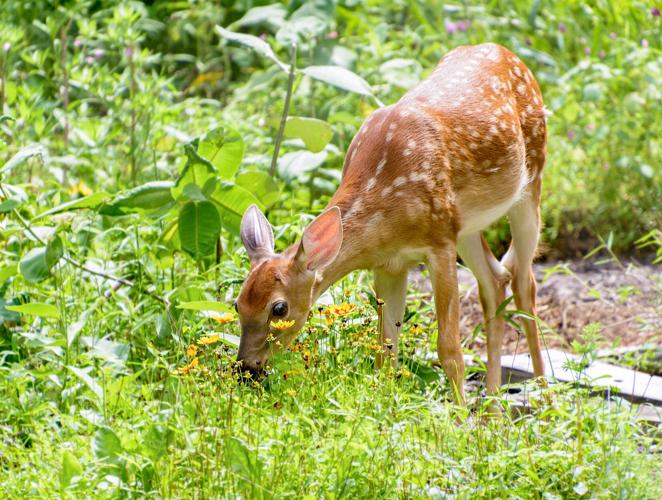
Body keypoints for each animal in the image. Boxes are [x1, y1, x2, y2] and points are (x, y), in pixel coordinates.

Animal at [234, 43, 547, 405]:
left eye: (279, 308)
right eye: (238, 303)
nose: (245, 370)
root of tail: (504, 50)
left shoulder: (440, 241)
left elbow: (449, 349)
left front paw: (459, 417)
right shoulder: (389, 264)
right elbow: (385, 352)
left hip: (530, 184)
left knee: (525, 283)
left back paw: (546, 400)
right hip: (467, 225)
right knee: (496, 282)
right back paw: (493, 410)